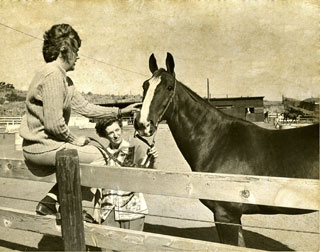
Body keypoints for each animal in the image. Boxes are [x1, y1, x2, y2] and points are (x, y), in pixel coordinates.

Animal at [134, 52, 318, 247]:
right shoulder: (233, 218)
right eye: (145, 85)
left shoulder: (226, 215)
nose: (142, 124)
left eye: (169, 87)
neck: (217, 142)